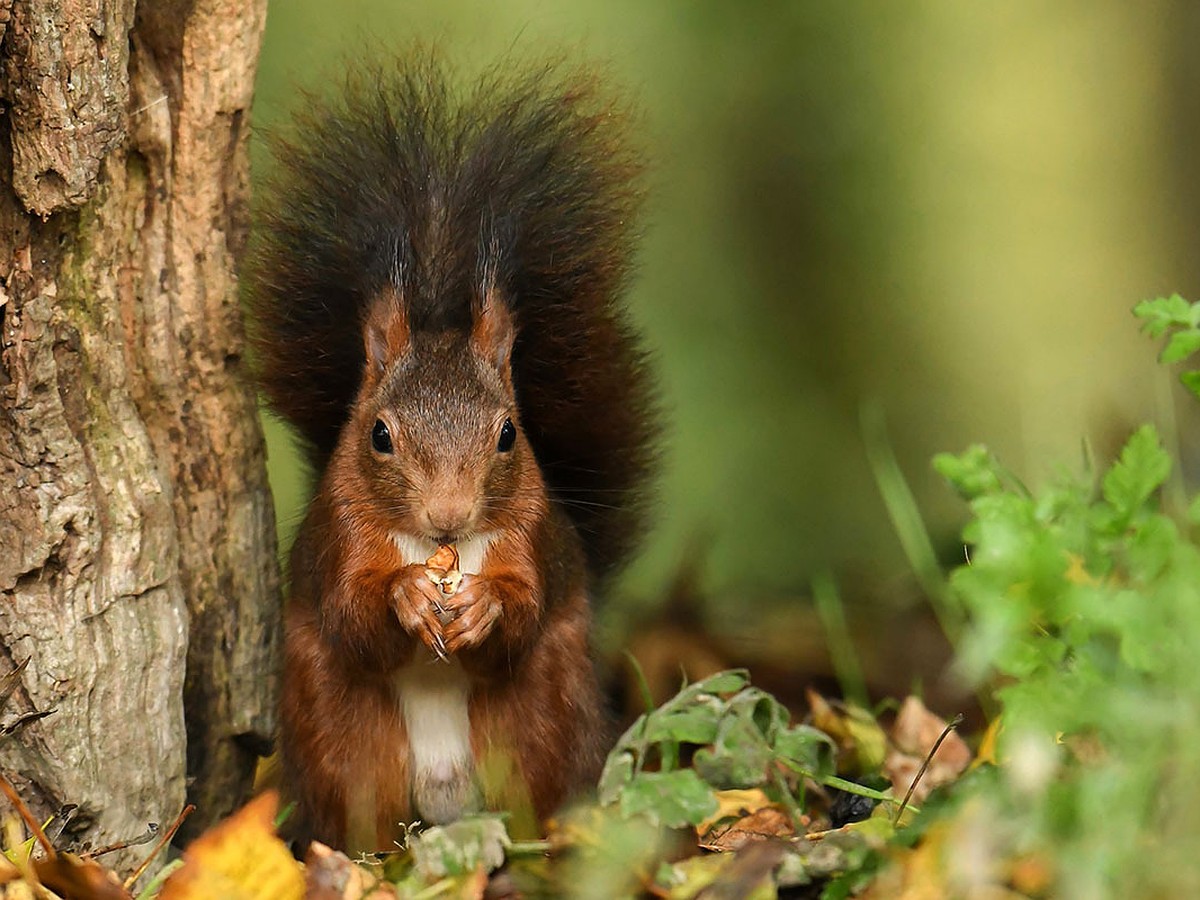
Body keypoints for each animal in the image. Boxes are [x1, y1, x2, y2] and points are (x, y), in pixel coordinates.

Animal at [242, 60, 657, 854]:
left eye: (509, 435)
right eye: (379, 435)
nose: (448, 514)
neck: (443, 551)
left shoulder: (530, 537)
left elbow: (522, 617)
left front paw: (485, 606)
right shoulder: (341, 536)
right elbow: (352, 616)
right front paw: (405, 594)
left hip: (539, 717)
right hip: (344, 733)